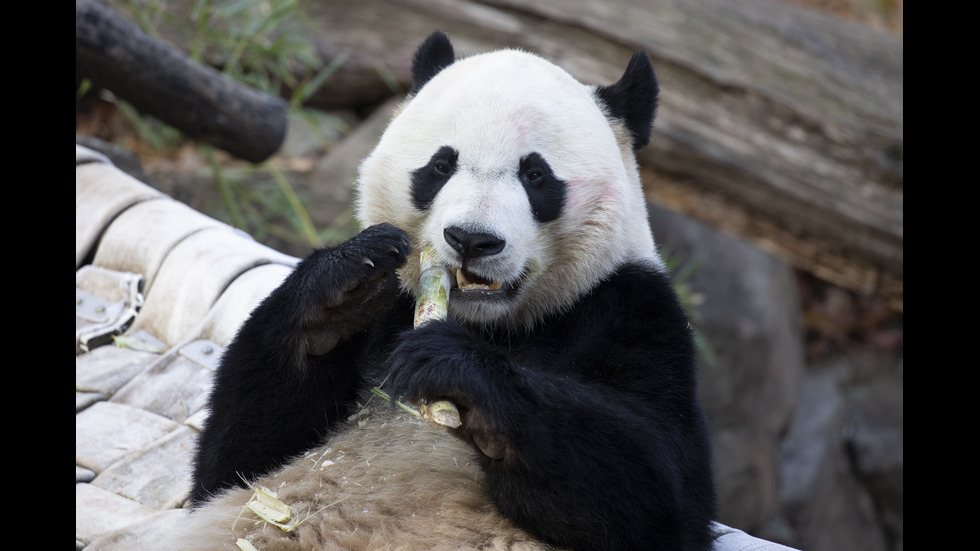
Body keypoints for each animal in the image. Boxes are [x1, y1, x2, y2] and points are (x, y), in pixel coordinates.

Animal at [172, 31, 716, 551]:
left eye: (535, 174)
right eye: (440, 165)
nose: (471, 239)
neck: (495, 325)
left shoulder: (631, 309)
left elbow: (659, 490)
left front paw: (455, 369)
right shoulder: (391, 314)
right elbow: (234, 462)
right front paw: (343, 288)